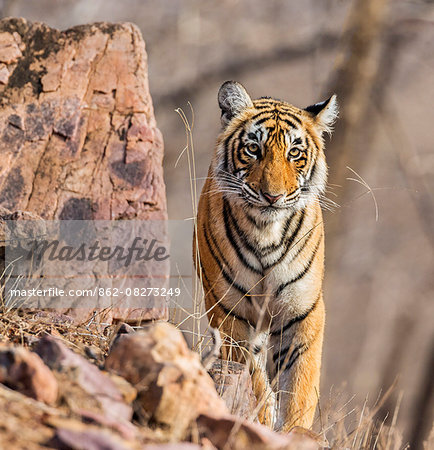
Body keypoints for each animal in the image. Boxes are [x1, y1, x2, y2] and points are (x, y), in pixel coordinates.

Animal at [193, 81, 340, 432]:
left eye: (294, 153)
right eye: (253, 149)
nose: (272, 196)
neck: (266, 233)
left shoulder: (303, 312)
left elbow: (300, 384)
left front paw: (292, 431)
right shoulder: (229, 313)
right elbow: (253, 376)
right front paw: (263, 416)